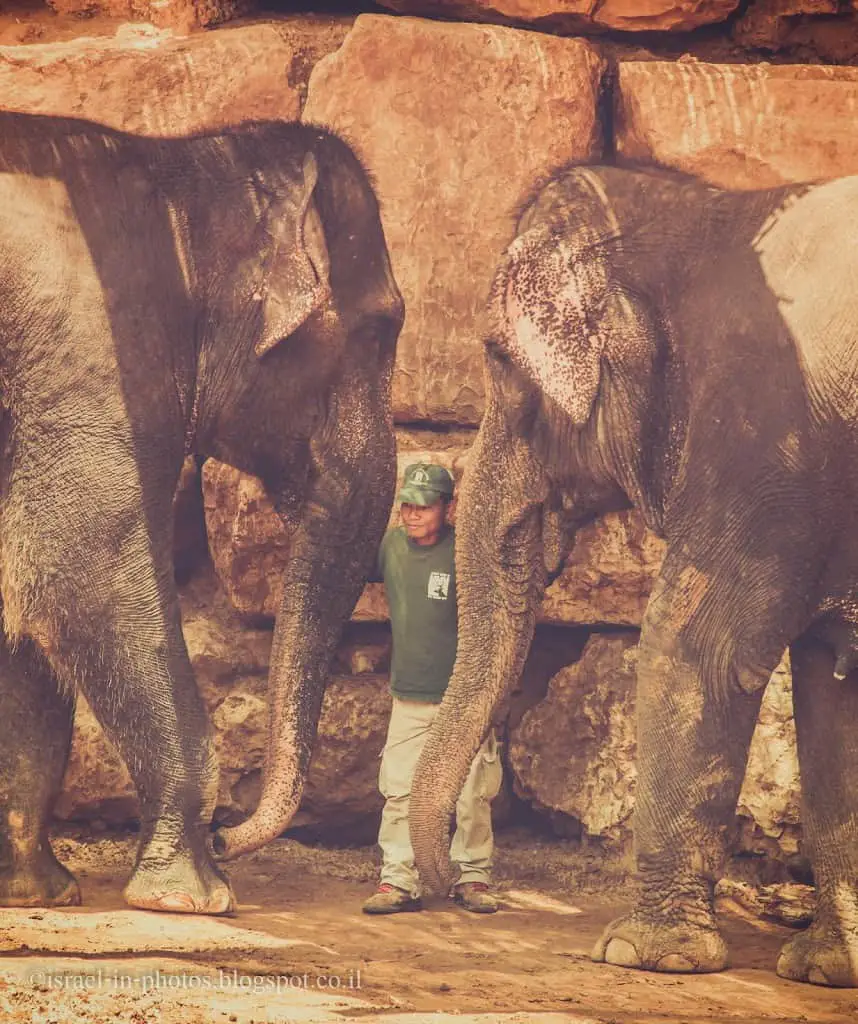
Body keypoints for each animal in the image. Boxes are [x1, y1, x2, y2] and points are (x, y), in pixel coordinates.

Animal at [0, 112, 403, 913]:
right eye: (382, 333)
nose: (228, 836)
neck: (176, 163)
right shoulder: (93, 345)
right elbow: (79, 568)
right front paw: (194, 896)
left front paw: (37, 892)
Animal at [407, 165, 858, 983]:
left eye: (496, 358)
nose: (459, 895)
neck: (701, 208)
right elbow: (832, 692)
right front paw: (823, 970)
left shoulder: (762, 436)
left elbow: (695, 646)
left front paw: (642, 955)